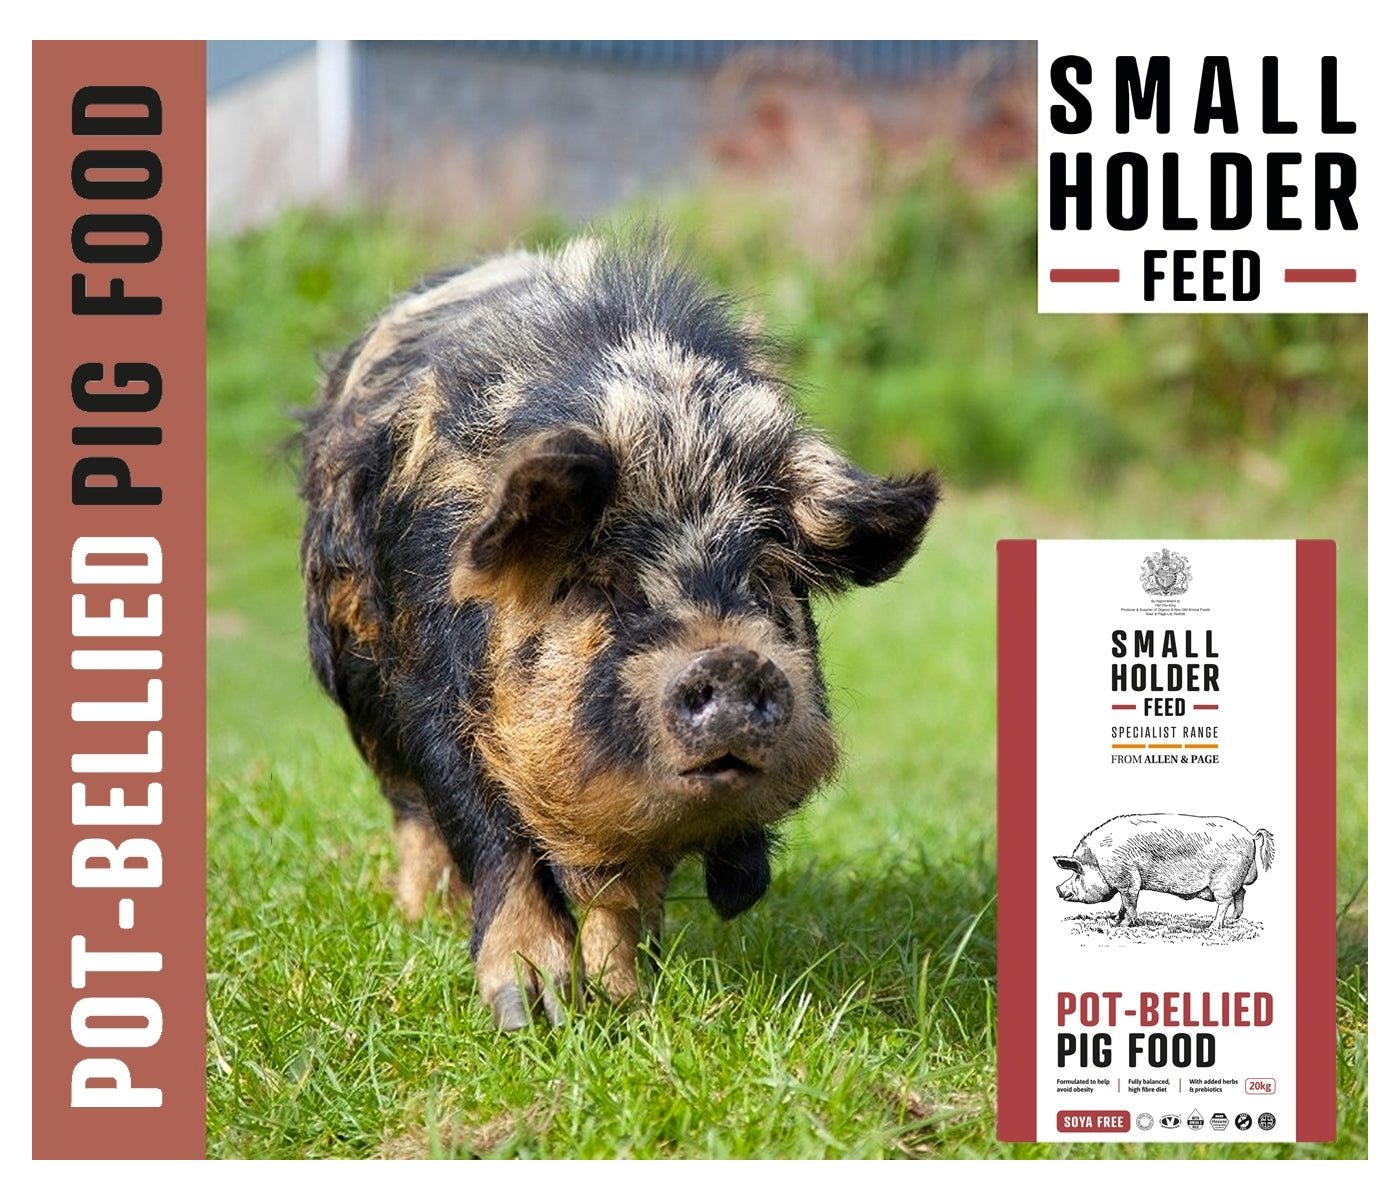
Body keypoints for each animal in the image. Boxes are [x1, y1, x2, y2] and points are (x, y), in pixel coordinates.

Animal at [298, 235, 940, 1029]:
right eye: (598, 582)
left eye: (769, 573)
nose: (730, 662)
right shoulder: (429, 695)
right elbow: (491, 835)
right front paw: (534, 1015)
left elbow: (627, 892)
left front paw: (625, 1004)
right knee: (411, 811)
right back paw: (422, 920)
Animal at [1053, 814, 1274, 930]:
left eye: (1077, 873)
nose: (1058, 889)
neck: (1098, 862)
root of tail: (1250, 835)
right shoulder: (1125, 884)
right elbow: (1123, 905)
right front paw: (1115, 920)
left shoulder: (1129, 880)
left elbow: (1130, 904)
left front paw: (1124, 925)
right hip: (1235, 879)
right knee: (1242, 893)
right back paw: (1233, 920)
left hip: (1224, 880)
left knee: (1225, 901)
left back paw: (1213, 927)